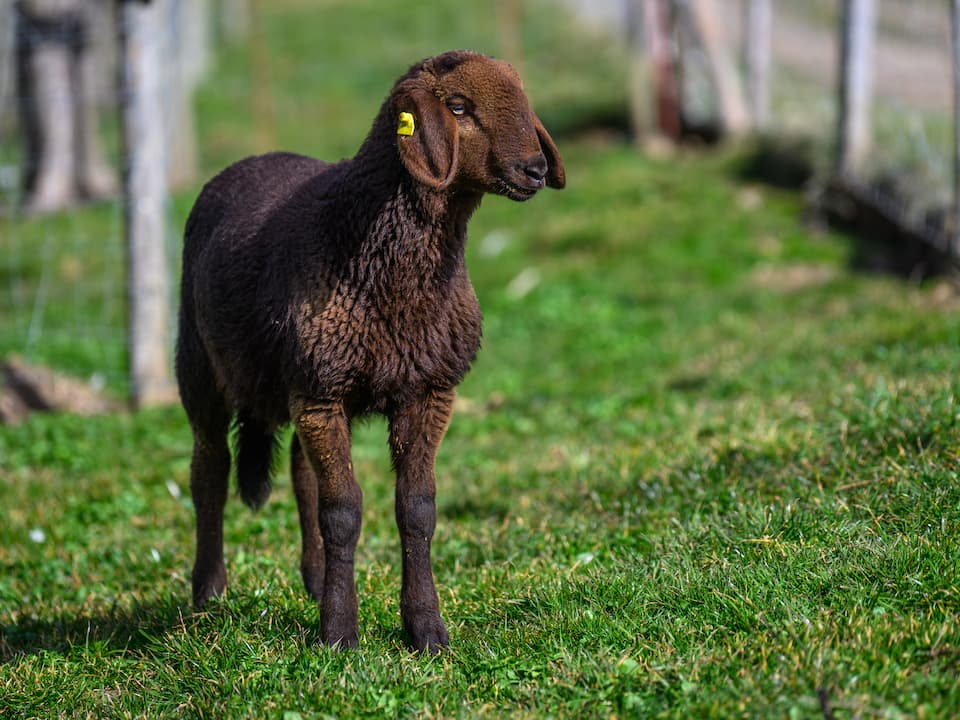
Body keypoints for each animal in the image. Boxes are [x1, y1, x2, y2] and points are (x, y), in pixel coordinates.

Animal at [176, 49, 565, 653]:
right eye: (458, 106)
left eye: (523, 100)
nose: (535, 169)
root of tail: (254, 159)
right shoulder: (322, 389)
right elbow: (343, 511)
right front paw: (339, 633)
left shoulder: (425, 388)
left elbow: (416, 508)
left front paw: (426, 630)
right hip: (203, 368)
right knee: (209, 470)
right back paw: (208, 594)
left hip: (300, 383)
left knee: (301, 476)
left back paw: (314, 581)